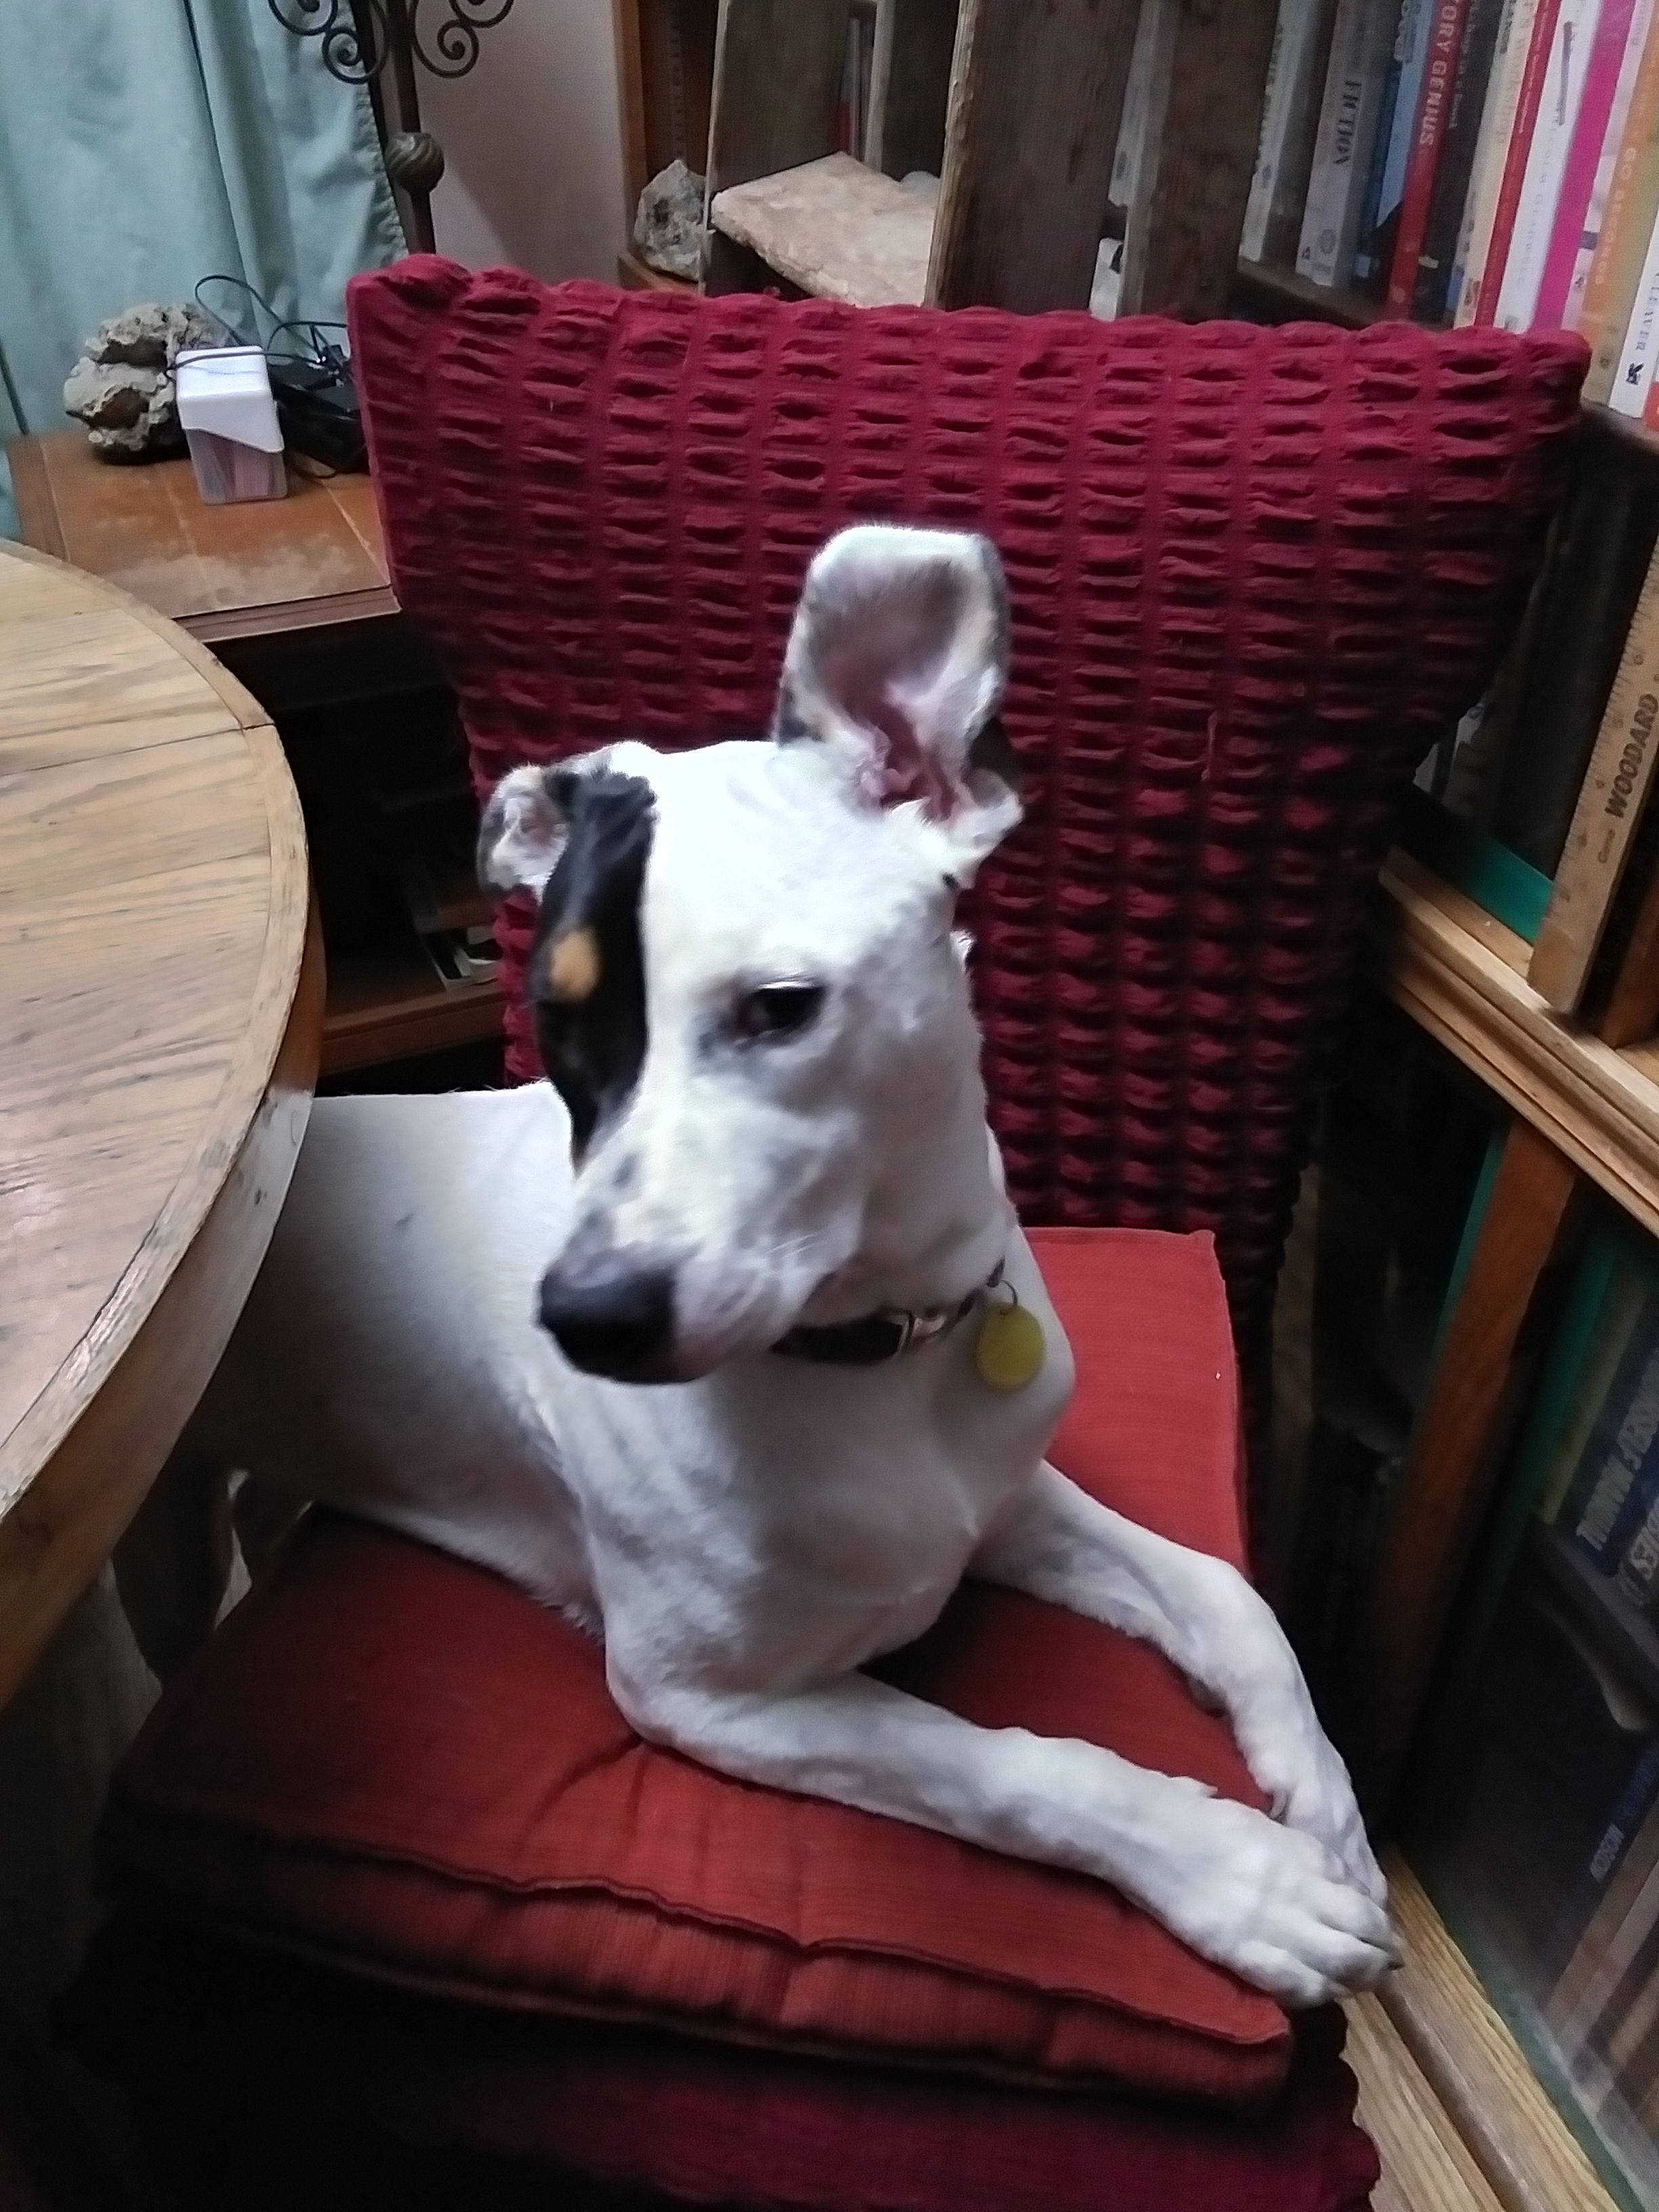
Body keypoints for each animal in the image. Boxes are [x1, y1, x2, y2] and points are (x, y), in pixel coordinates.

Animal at [132, 524, 1397, 2007]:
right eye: (556, 1020)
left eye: (779, 1008)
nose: (588, 1317)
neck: (874, 1360)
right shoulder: (711, 1702)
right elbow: (1015, 1769)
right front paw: (1240, 1879)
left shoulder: (1001, 1501)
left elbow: (1225, 1592)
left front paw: (1319, 1790)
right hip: (161, 1532)